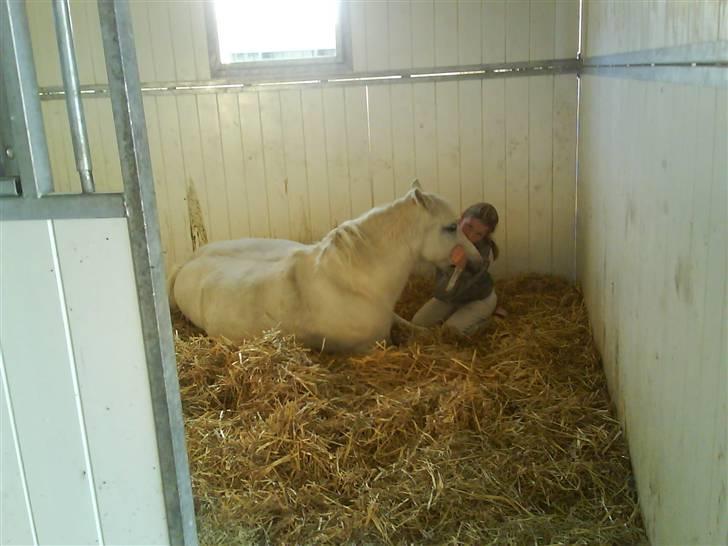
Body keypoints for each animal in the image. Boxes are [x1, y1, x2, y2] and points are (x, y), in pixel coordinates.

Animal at [168, 181, 481, 353]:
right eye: (451, 227)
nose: (478, 262)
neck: (353, 281)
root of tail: (188, 262)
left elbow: (415, 327)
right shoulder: (371, 346)